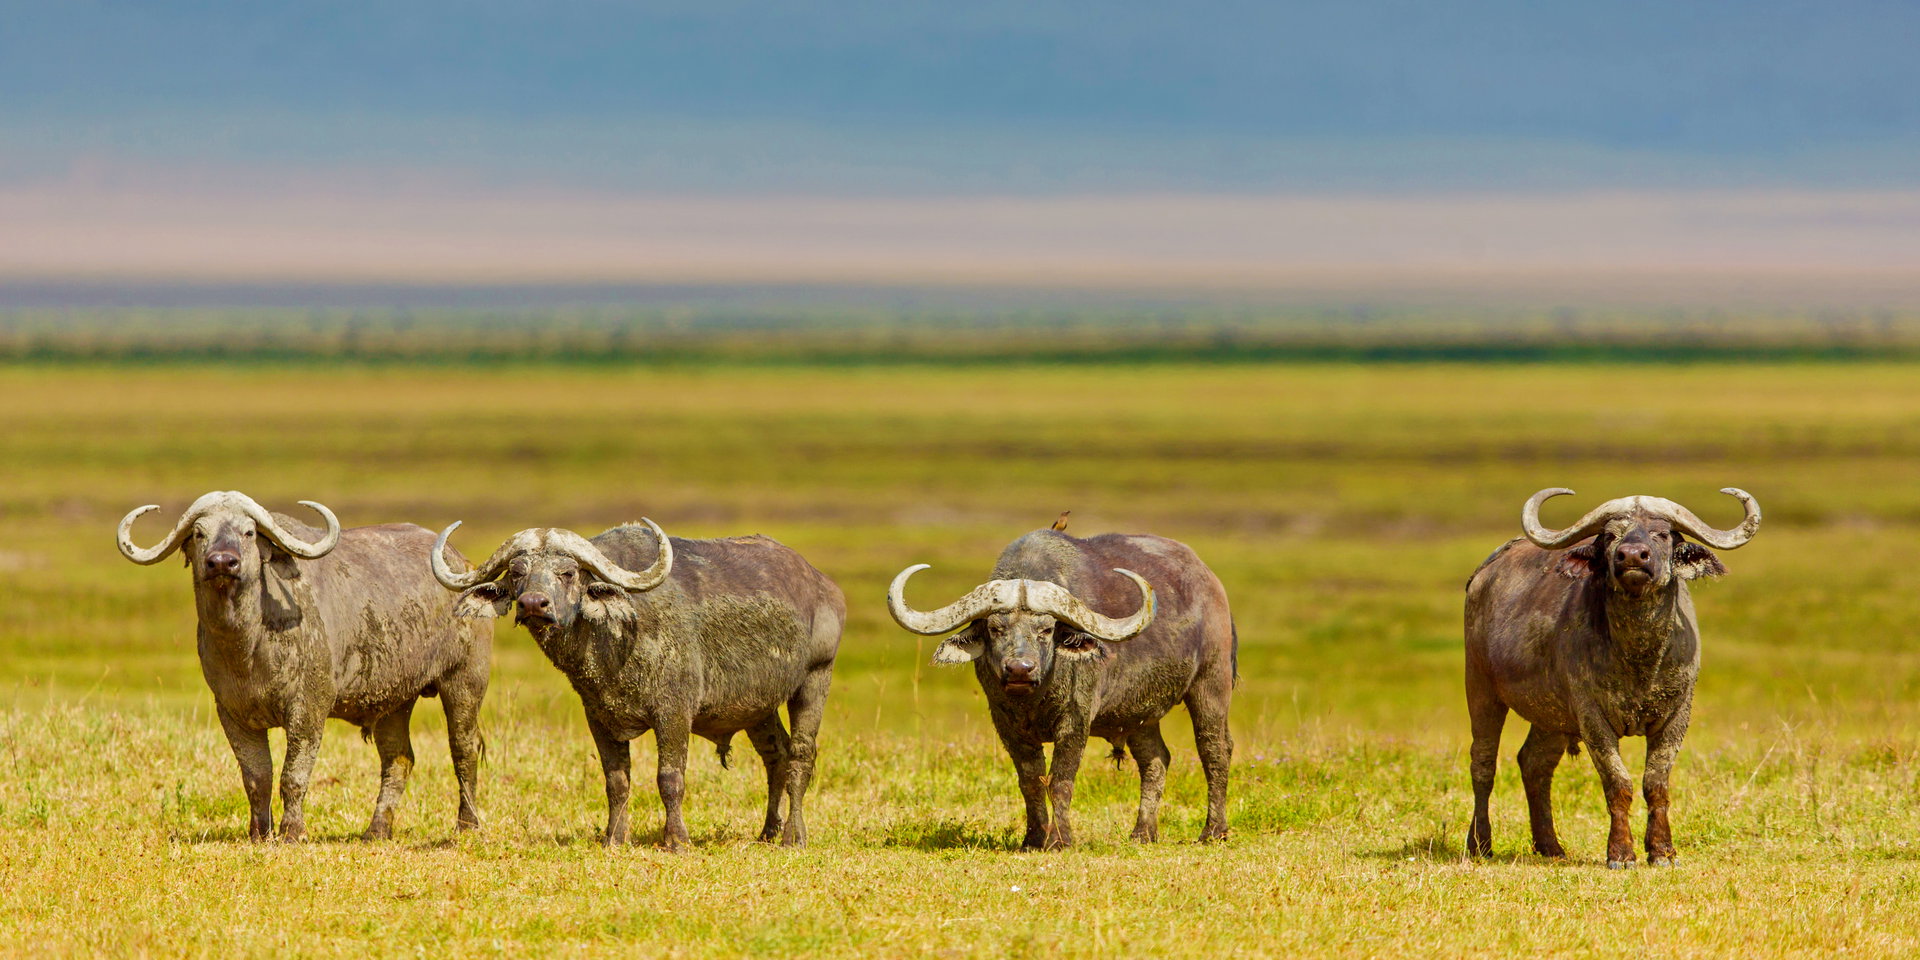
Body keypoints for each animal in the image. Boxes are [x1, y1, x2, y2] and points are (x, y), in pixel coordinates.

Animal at [117, 491, 490, 841]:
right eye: (198, 533)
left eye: (248, 532)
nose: (222, 562)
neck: (247, 648)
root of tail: (463, 565)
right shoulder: (232, 713)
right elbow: (257, 778)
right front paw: (260, 833)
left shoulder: (309, 707)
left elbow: (293, 774)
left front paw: (292, 831)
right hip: (395, 700)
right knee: (398, 758)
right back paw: (376, 830)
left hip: (464, 680)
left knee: (464, 748)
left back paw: (467, 825)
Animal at [430, 520, 844, 850]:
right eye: (517, 571)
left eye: (568, 572)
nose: (534, 604)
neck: (613, 638)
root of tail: (825, 587)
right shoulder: (598, 716)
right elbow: (616, 781)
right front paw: (614, 837)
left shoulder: (674, 713)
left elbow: (670, 778)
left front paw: (676, 840)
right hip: (759, 708)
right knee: (777, 756)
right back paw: (768, 832)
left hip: (815, 678)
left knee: (801, 756)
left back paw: (794, 836)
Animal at [888, 522, 1235, 849]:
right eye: (996, 628)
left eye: (1046, 629)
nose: (1020, 669)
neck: (1034, 698)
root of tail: (1211, 583)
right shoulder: (1006, 724)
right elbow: (1030, 780)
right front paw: (1033, 839)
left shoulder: (1075, 720)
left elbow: (1060, 779)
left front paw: (1060, 839)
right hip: (1139, 714)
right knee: (1155, 760)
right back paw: (1142, 833)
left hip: (1211, 684)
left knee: (1214, 750)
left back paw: (1212, 831)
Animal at [1464, 487, 1761, 867]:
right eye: (1610, 536)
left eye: (1662, 534)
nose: (1632, 556)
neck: (1638, 656)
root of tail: (1482, 576)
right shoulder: (1592, 717)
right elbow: (1618, 782)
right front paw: (1621, 852)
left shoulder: (1677, 716)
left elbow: (1656, 783)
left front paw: (1662, 851)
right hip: (1481, 687)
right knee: (1483, 763)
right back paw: (1479, 844)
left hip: (1552, 716)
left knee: (1534, 763)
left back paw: (1550, 846)